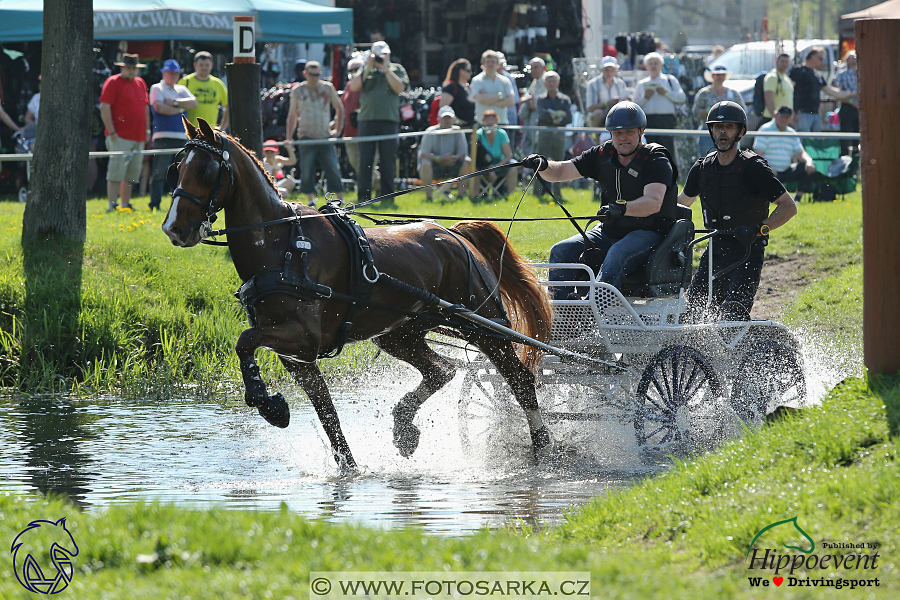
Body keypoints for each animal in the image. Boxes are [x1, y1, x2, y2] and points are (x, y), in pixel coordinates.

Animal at [163, 119, 556, 468]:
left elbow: (245, 340)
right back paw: (404, 427)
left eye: (206, 171)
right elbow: (328, 415)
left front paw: (267, 402)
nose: (173, 229)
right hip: (399, 333)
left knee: (520, 379)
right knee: (441, 370)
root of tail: (455, 235)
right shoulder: (298, 358)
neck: (283, 245)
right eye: (176, 169)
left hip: (484, 324)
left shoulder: (303, 338)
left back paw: (544, 449)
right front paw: (346, 467)